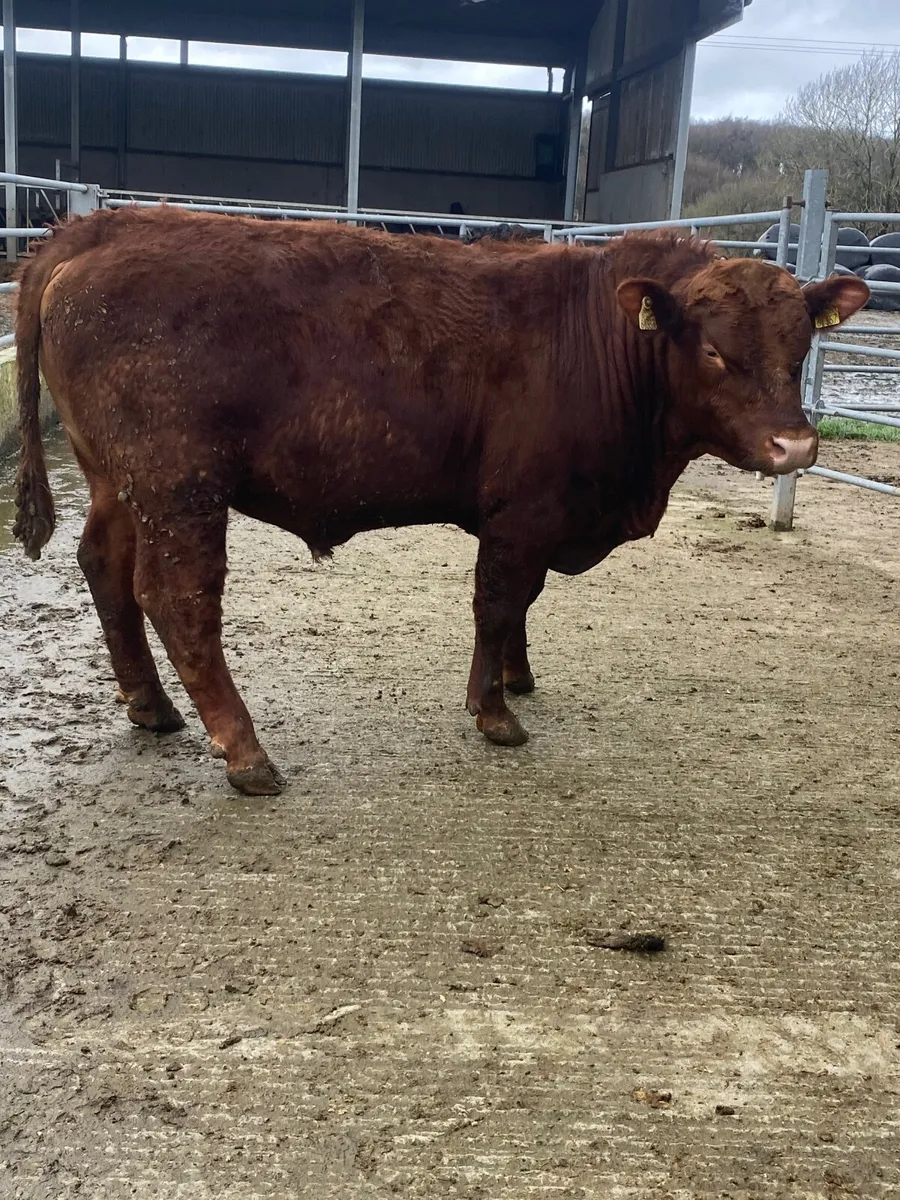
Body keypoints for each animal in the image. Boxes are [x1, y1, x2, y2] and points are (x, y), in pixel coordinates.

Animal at [13, 207, 869, 795]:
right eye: (717, 351)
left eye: (801, 347)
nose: (796, 447)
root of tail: (104, 224)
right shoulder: (523, 510)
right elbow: (498, 600)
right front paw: (494, 711)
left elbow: (523, 603)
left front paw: (518, 677)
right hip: (180, 485)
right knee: (178, 598)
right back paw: (246, 752)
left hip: (120, 483)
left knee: (104, 567)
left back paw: (150, 706)